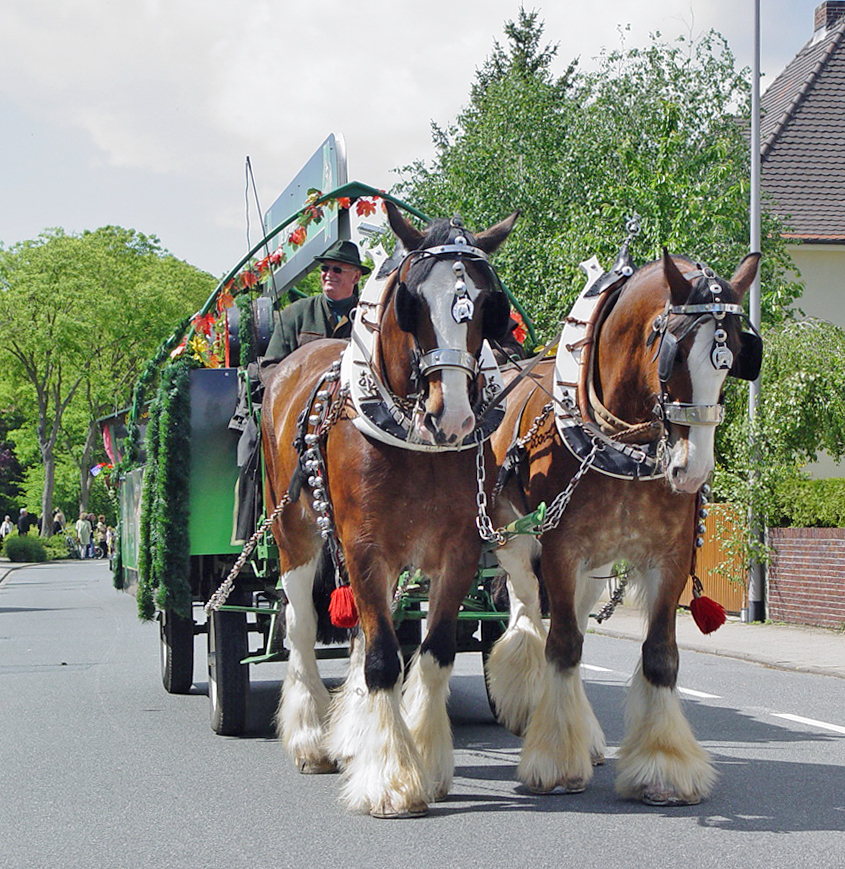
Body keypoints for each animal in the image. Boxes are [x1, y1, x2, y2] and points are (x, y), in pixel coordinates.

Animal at [260, 200, 516, 816]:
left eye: (488, 305)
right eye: (412, 302)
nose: (454, 416)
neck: (416, 445)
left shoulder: (457, 551)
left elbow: (431, 652)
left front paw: (426, 759)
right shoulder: (363, 547)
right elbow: (381, 658)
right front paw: (392, 781)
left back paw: (354, 734)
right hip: (294, 533)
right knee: (301, 626)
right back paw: (310, 738)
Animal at [484, 248, 760, 804]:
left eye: (737, 355)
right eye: (674, 351)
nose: (692, 470)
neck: (623, 445)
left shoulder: (667, 557)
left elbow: (659, 655)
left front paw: (663, 768)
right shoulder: (561, 549)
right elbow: (562, 645)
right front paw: (554, 762)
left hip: (596, 564)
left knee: (568, 618)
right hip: (515, 539)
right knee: (528, 614)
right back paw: (529, 701)